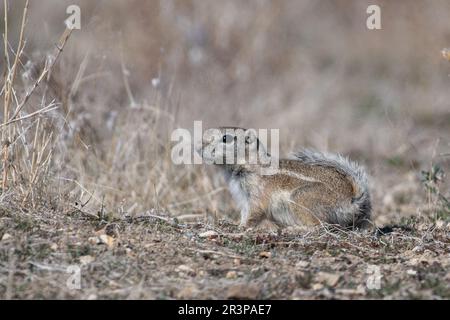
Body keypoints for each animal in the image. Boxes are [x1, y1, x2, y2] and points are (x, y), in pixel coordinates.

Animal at [200, 127, 372, 230]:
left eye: (225, 138)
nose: (200, 148)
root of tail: (352, 199)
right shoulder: (243, 198)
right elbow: (244, 213)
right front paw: (237, 224)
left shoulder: (257, 195)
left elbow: (254, 213)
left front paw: (243, 228)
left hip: (301, 198)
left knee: (318, 226)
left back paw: (294, 229)